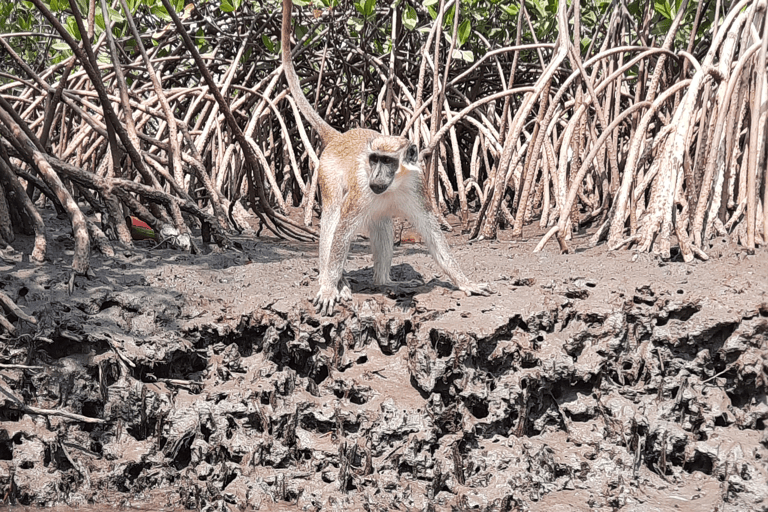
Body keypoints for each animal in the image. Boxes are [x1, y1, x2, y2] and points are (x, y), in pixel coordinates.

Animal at [281, 0, 492, 316]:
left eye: (388, 162)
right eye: (374, 160)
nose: (377, 177)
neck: (395, 184)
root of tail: (340, 137)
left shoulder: (417, 186)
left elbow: (433, 234)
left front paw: (465, 282)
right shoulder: (359, 194)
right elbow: (340, 232)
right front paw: (330, 287)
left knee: (382, 222)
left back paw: (384, 282)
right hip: (326, 172)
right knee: (332, 216)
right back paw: (335, 282)